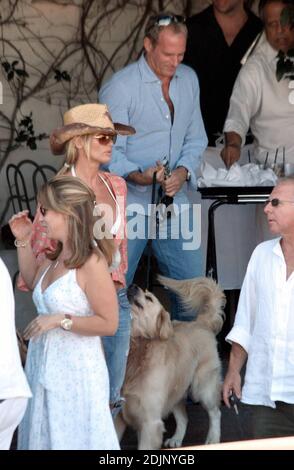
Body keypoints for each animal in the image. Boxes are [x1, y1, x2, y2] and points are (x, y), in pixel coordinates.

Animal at [115, 278, 225, 450]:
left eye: (149, 298)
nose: (132, 285)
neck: (138, 349)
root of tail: (201, 322)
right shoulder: (117, 416)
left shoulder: (150, 423)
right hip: (176, 389)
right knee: (183, 417)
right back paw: (176, 439)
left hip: (202, 386)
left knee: (215, 412)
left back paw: (213, 439)